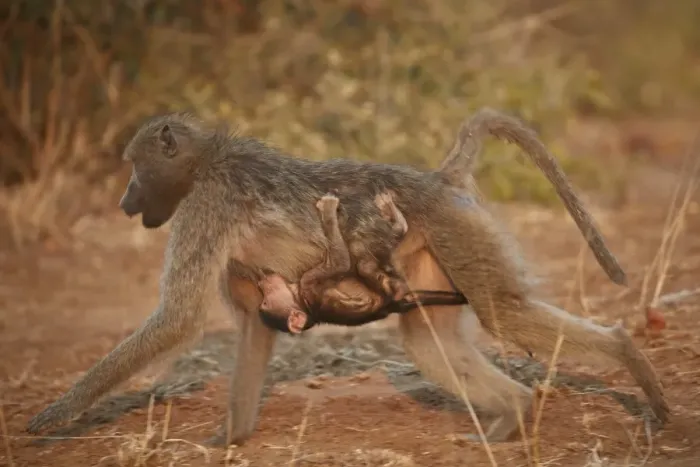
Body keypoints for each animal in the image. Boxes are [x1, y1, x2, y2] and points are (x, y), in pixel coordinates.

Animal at [26, 110, 668, 447]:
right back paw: (510, 415)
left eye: (135, 168)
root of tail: (439, 180)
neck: (208, 161)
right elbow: (254, 332)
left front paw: (56, 414)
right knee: (431, 344)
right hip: (427, 259)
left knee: (501, 310)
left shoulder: (206, 208)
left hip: (458, 232)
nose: (124, 200)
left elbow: (177, 321)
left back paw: (627, 357)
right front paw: (229, 439)